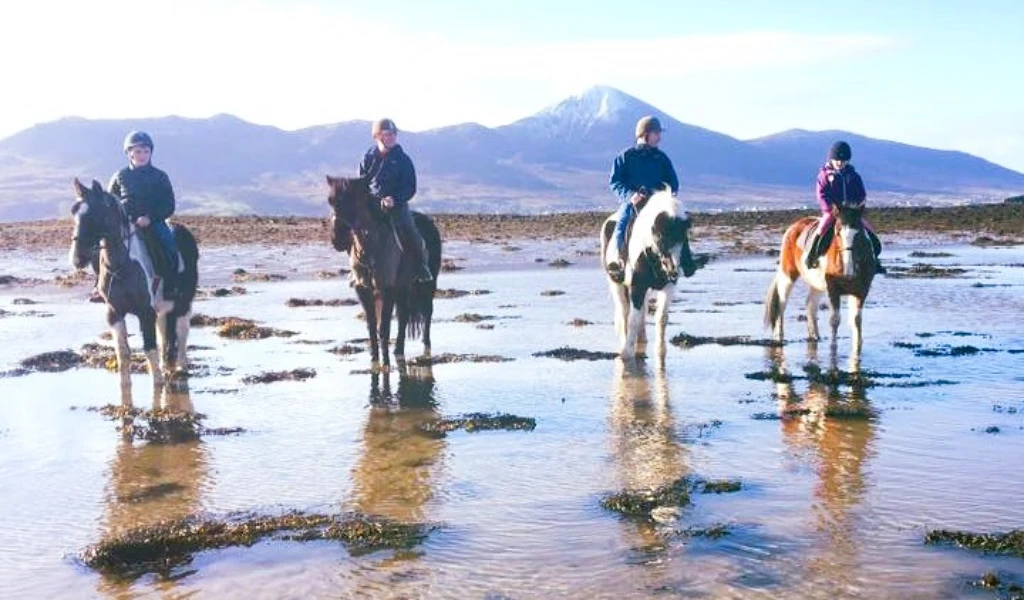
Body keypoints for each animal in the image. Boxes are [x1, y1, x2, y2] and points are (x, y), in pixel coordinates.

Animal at [69, 178, 199, 398]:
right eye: (74, 212)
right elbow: (123, 352)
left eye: (95, 214)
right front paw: (125, 389)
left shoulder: (146, 313)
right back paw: (167, 366)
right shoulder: (114, 313)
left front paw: (158, 387)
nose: (78, 258)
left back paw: (181, 369)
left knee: (181, 333)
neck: (121, 266)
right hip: (163, 308)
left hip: (183, 303)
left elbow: (149, 348)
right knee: (165, 334)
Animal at [325, 175, 441, 369]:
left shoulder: (387, 288)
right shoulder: (363, 289)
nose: (337, 239)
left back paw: (424, 346)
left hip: (427, 284)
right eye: (331, 200)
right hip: (404, 285)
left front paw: (385, 363)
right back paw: (398, 350)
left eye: (352, 201)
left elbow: (384, 327)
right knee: (404, 315)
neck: (371, 246)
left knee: (427, 312)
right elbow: (372, 326)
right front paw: (374, 358)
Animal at [599, 190, 698, 359]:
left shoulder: (668, 287)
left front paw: (660, 351)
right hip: (616, 283)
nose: (672, 270)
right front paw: (626, 353)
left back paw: (642, 340)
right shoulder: (637, 287)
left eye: (683, 237)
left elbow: (661, 318)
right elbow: (632, 319)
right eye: (659, 236)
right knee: (624, 311)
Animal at [763, 204, 876, 352]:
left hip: (816, 284)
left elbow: (856, 320)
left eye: (858, 233)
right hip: (788, 276)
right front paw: (833, 347)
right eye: (838, 232)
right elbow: (835, 319)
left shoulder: (861, 291)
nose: (848, 270)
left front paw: (857, 348)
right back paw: (779, 337)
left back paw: (815, 336)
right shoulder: (833, 289)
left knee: (810, 305)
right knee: (781, 304)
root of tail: (794, 227)